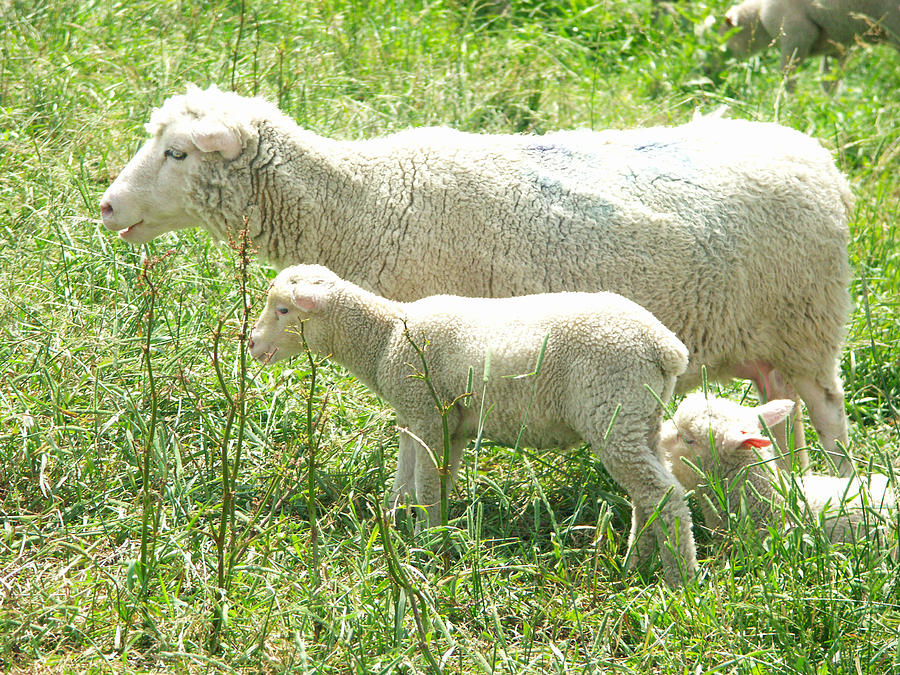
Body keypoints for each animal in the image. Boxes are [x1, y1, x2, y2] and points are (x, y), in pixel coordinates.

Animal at [95, 84, 856, 472]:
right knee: (781, 413)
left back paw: (838, 488)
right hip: (769, 346)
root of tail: (820, 159)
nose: (105, 206)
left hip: (809, 325)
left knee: (829, 415)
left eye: (177, 152)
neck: (367, 201)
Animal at [250, 264, 700, 588]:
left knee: (664, 495)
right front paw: (395, 529)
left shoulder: (428, 412)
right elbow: (410, 482)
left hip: (612, 407)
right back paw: (635, 564)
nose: (251, 343)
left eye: (283, 309)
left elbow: (426, 486)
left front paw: (426, 543)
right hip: (640, 417)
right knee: (646, 496)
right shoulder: (425, 420)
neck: (386, 338)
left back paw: (680, 580)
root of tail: (665, 346)